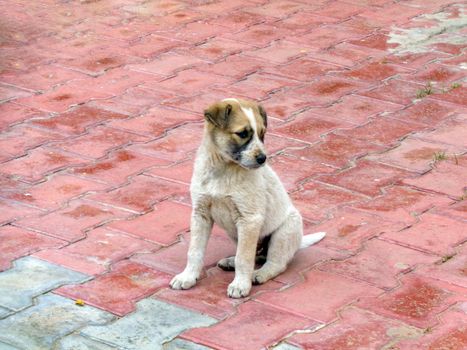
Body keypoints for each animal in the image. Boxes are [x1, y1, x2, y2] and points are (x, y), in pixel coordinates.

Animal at [170, 98, 328, 298]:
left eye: (262, 134)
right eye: (242, 133)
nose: (263, 158)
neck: (224, 169)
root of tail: (299, 242)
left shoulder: (249, 219)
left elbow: (243, 258)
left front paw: (240, 285)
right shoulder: (200, 213)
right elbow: (194, 251)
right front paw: (188, 277)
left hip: (284, 231)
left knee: (275, 263)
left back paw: (258, 274)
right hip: (236, 233)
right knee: (255, 255)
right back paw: (230, 262)